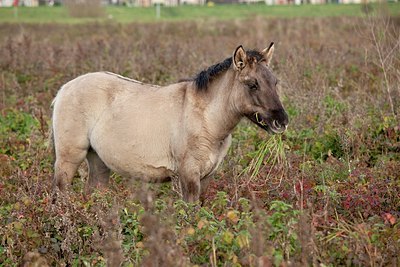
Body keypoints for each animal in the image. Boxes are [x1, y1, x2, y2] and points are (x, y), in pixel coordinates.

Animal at [51, 43, 290, 203]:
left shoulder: (206, 177)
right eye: (252, 84)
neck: (206, 119)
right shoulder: (188, 175)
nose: (282, 121)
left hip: (98, 163)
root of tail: (64, 89)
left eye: (274, 82)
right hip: (69, 159)